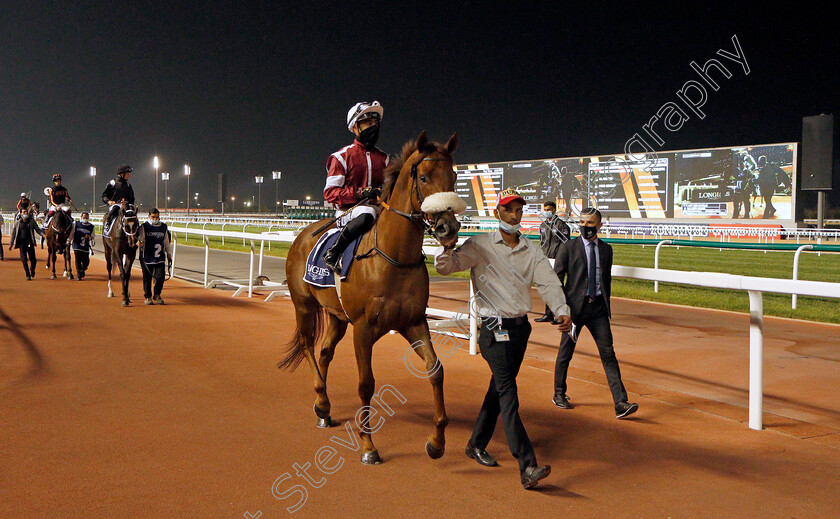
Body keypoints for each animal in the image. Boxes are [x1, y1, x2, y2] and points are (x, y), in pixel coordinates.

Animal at [282, 132, 466, 466]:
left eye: (454, 177)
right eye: (423, 177)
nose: (448, 228)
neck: (394, 258)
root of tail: (303, 234)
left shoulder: (414, 322)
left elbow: (436, 370)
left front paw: (436, 442)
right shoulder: (364, 329)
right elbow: (366, 384)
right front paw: (368, 446)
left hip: (337, 316)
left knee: (325, 350)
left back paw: (324, 406)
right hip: (303, 304)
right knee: (307, 345)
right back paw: (321, 400)